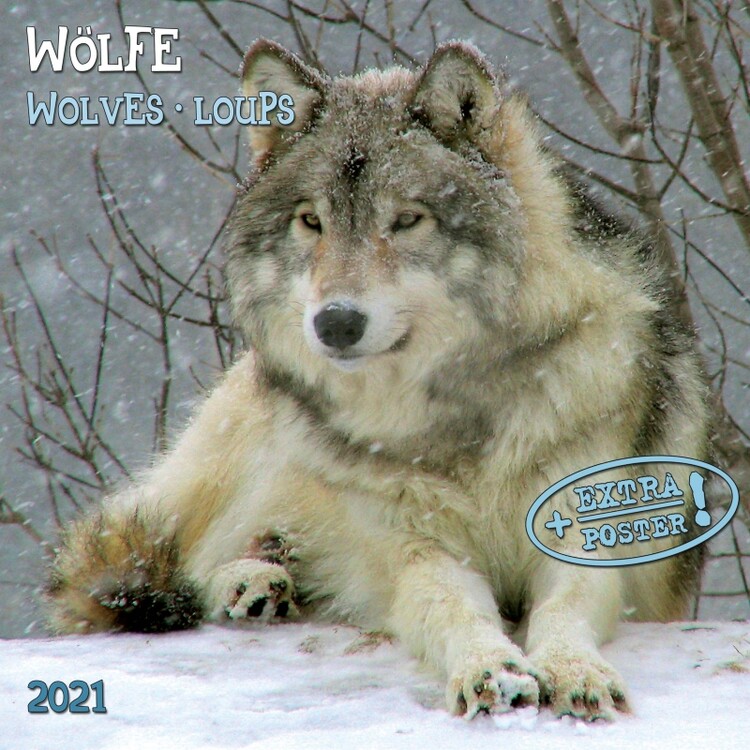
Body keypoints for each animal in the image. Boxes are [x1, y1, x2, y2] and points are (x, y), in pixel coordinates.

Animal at [46, 40, 710, 721]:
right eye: (311, 222)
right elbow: (451, 606)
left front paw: (575, 671)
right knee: (175, 558)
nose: (336, 322)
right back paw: (250, 581)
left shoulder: (585, 534)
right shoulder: (412, 548)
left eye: (407, 219)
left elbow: (565, 607)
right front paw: (491, 670)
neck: (455, 412)